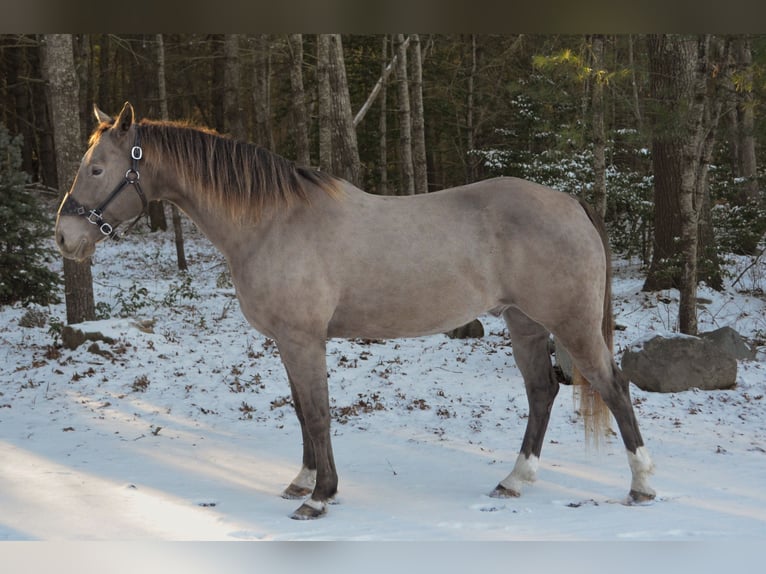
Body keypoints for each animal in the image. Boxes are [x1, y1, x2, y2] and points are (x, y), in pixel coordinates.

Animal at [55, 102, 655, 520]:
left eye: (97, 169)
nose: (64, 237)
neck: (274, 222)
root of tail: (571, 202)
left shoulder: (303, 338)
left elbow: (319, 413)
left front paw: (319, 497)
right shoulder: (288, 342)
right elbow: (302, 411)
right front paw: (302, 481)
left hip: (572, 324)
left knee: (614, 385)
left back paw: (642, 484)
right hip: (523, 322)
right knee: (541, 391)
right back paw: (514, 479)